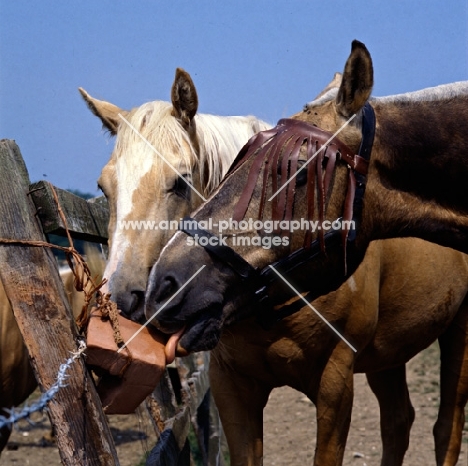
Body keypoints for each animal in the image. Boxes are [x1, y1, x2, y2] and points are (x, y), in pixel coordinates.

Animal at [145, 41, 468, 464]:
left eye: (297, 172)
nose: (162, 286)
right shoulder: (232, 387)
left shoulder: (335, 382)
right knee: (399, 421)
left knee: (446, 427)